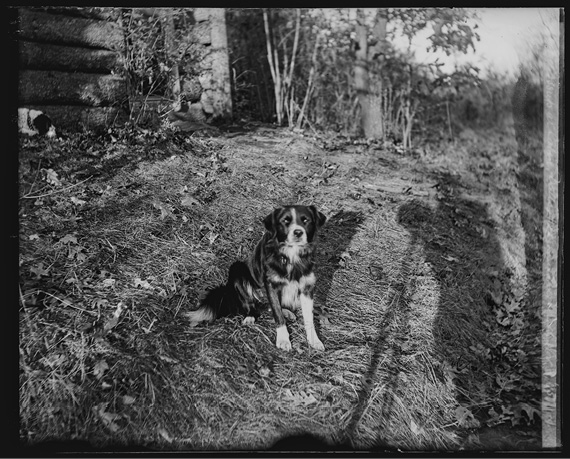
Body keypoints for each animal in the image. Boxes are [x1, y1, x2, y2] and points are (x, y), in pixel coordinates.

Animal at [186, 205, 326, 352]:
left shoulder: (307, 286)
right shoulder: (270, 284)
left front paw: (314, 340)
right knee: (252, 304)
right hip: (237, 269)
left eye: (305, 220)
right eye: (285, 221)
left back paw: (288, 312)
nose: (298, 232)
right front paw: (283, 340)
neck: (291, 255)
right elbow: (277, 313)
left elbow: (309, 317)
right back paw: (250, 317)